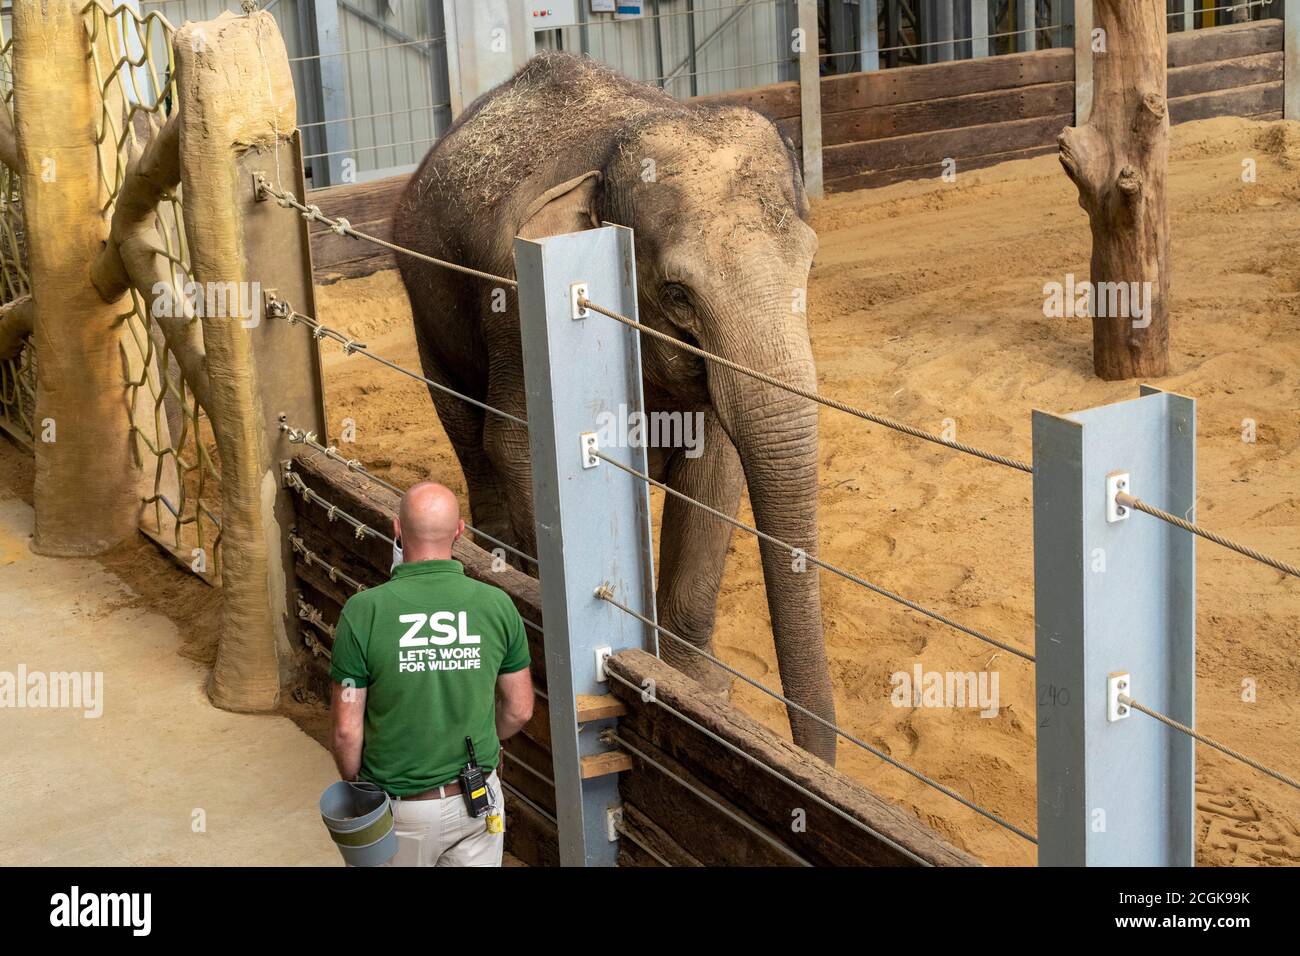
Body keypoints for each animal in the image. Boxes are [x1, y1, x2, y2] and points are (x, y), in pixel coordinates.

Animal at [393, 52, 836, 764]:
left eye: (811, 266)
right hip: (424, 299)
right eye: (677, 293)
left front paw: (696, 689)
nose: (811, 761)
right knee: (467, 431)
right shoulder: (519, 302)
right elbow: (518, 445)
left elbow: (715, 474)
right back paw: (494, 562)